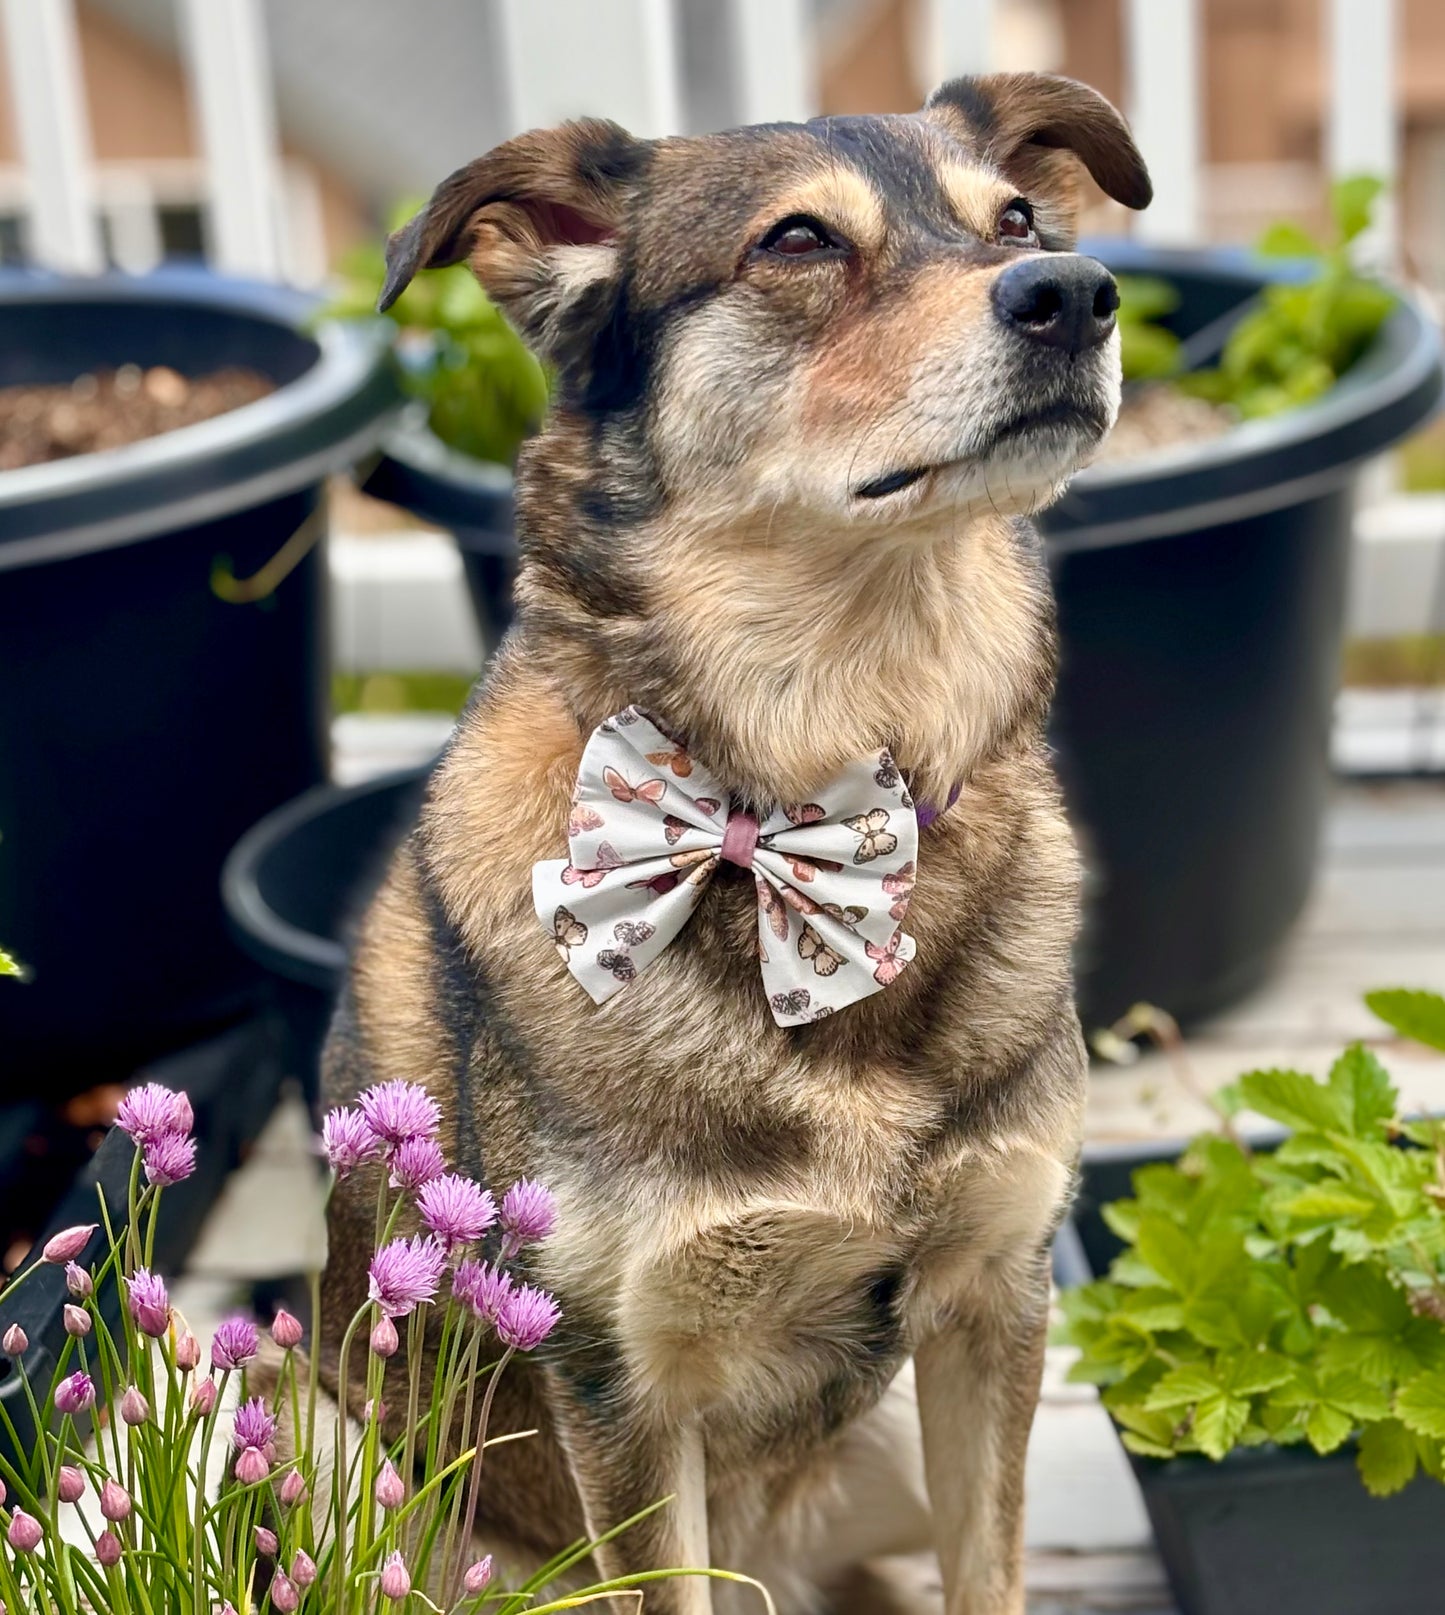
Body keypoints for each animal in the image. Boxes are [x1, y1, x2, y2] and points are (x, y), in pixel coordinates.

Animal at [319, 72, 1149, 1615]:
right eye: (798, 240)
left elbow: (989, 1570)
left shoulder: (989, 1306)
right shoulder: (625, 1390)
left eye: (1016, 219)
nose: (1073, 290)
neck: (806, 804)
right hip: (343, 1442)